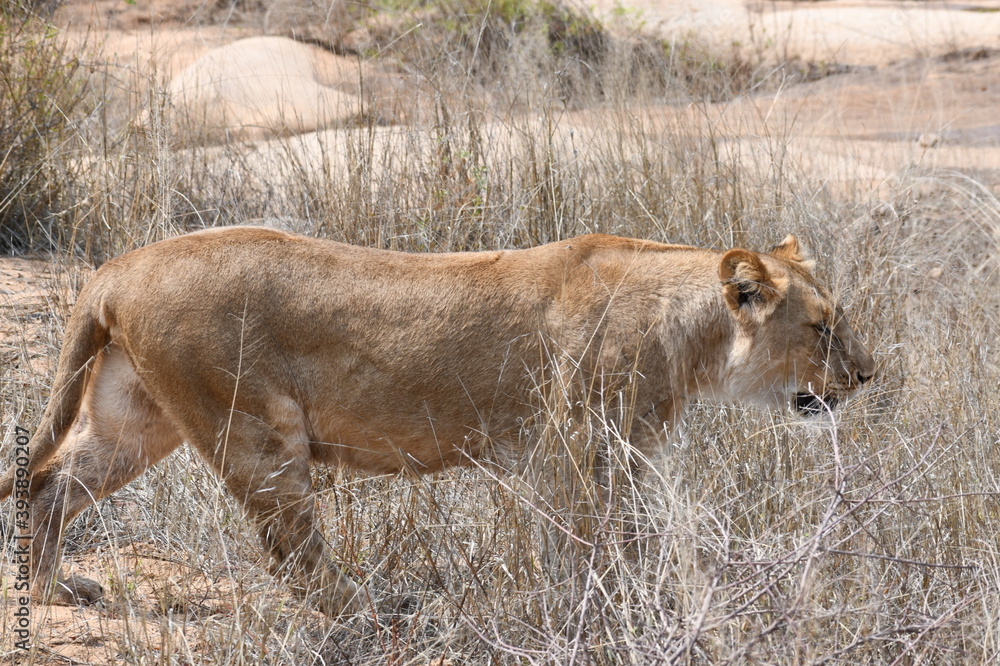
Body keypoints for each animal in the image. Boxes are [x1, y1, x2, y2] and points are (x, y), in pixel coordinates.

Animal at [0, 227, 874, 615]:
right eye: (822, 327)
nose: (870, 376)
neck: (693, 336)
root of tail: (117, 267)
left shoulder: (611, 454)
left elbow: (615, 541)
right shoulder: (576, 449)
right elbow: (592, 546)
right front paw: (604, 611)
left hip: (136, 418)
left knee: (50, 482)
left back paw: (50, 588)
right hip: (255, 428)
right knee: (295, 554)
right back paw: (371, 609)